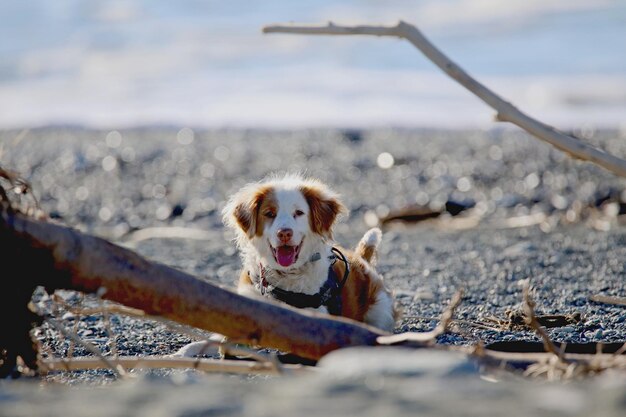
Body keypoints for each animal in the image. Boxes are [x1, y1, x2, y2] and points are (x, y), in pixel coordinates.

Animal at [219, 172, 394, 332]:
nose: (284, 233)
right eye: (269, 213)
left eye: (299, 213)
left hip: (380, 310)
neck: (285, 277)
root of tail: (361, 259)